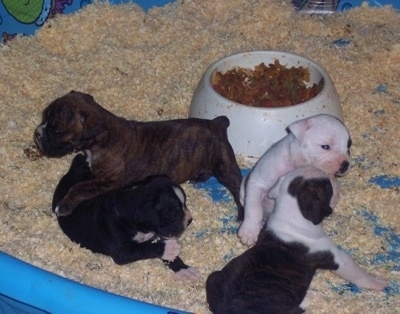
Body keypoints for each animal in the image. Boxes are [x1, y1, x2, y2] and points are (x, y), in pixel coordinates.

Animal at [52, 154, 199, 280]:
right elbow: (143, 248)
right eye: (173, 215)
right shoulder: (121, 252)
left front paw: (183, 269)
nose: (190, 220)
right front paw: (170, 248)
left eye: (185, 204)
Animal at [206, 166, 388, 312]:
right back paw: (310, 298)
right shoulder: (336, 258)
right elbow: (356, 272)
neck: (291, 214)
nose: (324, 171)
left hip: (213, 277)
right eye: (326, 184)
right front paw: (377, 281)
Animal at [239, 114, 352, 247]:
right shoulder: (257, 183)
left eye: (348, 146)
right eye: (325, 146)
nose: (345, 164)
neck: (298, 162)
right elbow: (254, 209)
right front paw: (249, 231)